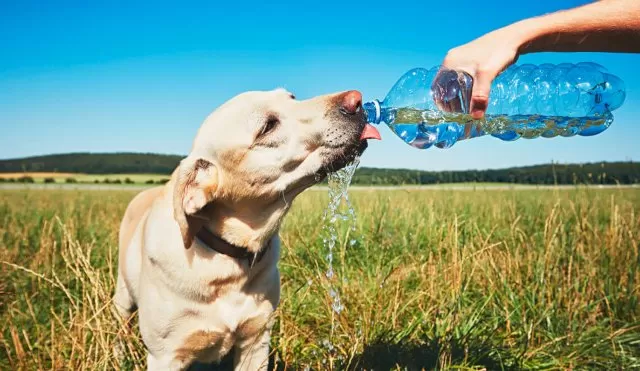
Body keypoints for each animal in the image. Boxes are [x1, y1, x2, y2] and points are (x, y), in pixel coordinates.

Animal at [114, 88, 380, 370]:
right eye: (267, 127)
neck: (227, 260)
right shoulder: (165, 356)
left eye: (292, 97)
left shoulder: (256, 340)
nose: (356, 99)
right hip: (122, 297)